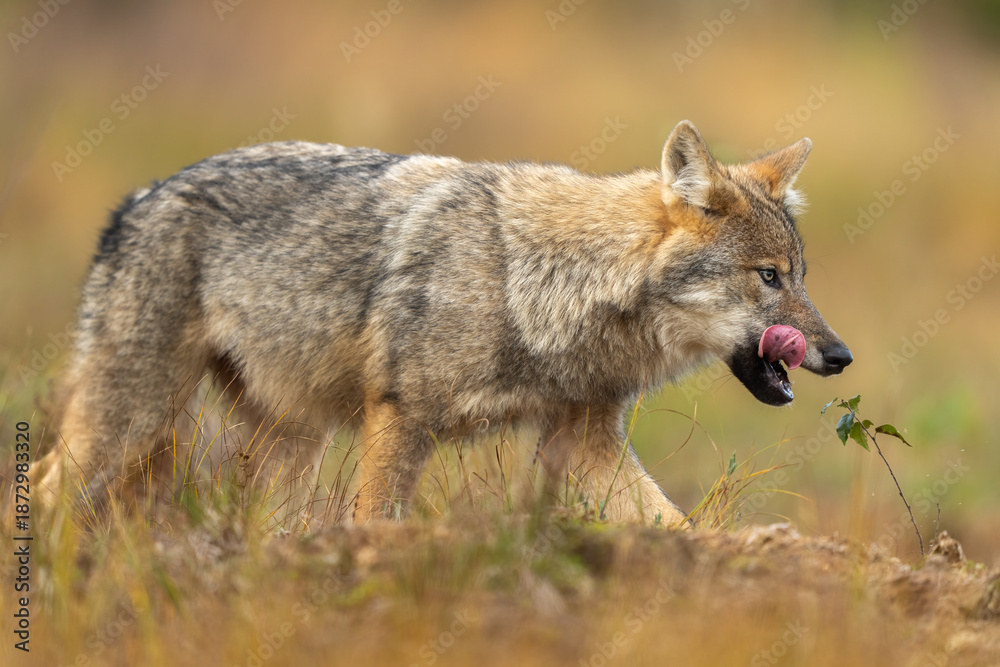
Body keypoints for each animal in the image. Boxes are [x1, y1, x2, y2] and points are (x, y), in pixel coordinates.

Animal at [33, 120, 851, 526]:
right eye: (769, 278)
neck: (541, 284)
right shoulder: (401, 418)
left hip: (286, 443)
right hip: (131, 422)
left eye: (801, 276)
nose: (841, 355)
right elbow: (376, 525)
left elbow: (674, 525)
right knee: (42, 488)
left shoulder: (585, 441)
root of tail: (138, 197)